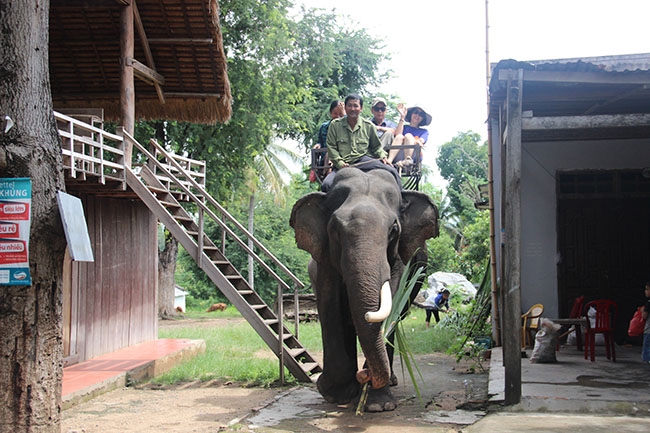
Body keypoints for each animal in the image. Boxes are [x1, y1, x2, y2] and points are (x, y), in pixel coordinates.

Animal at [290, 166, 438, 412]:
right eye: (335, 229)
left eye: (393, 230)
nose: (364, 375)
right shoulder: (323, 261)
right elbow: (330, 307)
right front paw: (334, 394)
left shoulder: (400, 260)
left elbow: (390, 302)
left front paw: (378, 405)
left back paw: (388, 381)